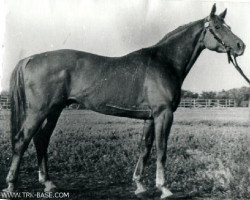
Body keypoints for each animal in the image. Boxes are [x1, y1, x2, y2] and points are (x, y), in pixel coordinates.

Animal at [3, 4, 246, 198]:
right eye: (218, 27)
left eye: (228, 26)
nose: (240, 46)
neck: (164, 62)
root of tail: (30, 59)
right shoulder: (163, 114)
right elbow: (162, 149)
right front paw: (164, 188)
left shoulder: (150, 117)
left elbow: (145, 148)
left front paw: (139, 185)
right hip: (39, 111)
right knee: (22, 140)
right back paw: (11, 185)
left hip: (54, 110)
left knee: (41, 140)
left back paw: (49, 183)